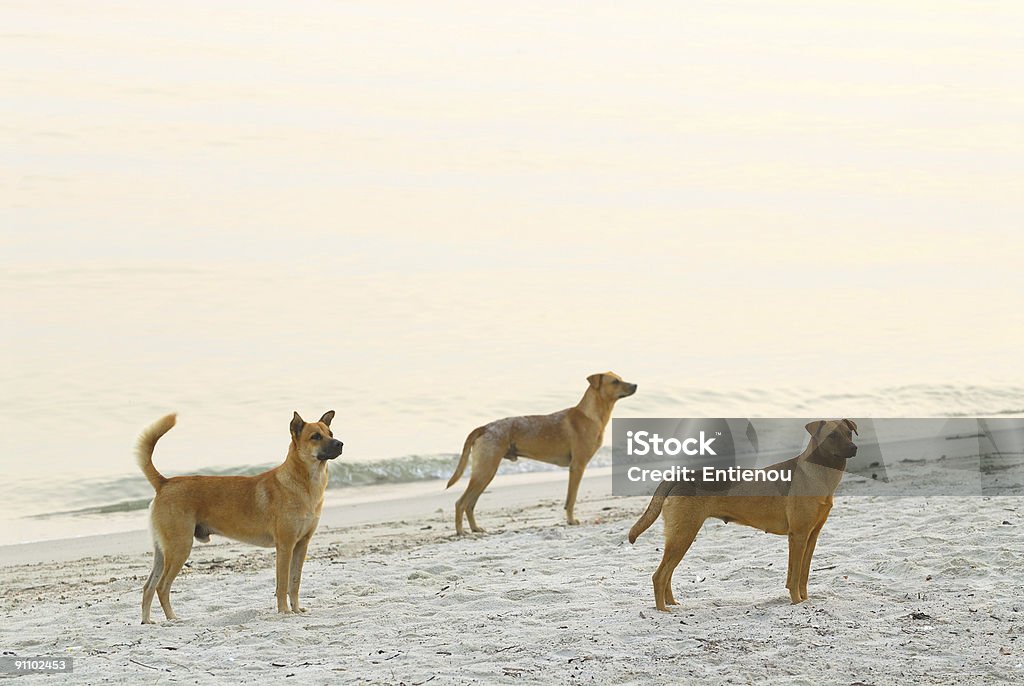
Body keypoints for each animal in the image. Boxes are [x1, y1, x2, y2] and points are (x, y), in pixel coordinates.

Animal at [134, 411, 344, 626]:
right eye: (315, 437)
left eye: (330, 433)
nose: (340, 443)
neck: (303, 482)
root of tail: (165, 483)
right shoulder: (286, 547)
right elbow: (283, 584)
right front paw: (284, 611)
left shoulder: (302, 545)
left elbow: (295, 583)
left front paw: (296, 610)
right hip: (179, 548)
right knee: (161, 587)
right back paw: (172, 618)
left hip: (164, 552)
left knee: (148, 587)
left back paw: (147, 621)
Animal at [446, 372, 634, 536]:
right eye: (615, 381)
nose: (635, 385)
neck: (591, 414)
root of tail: (484, 427)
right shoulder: (577, 466)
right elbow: (571, 499)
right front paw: (571, 521)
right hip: (485, 471)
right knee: (461, 503)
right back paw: (461, 531)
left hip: (485, 474)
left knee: (470, 504)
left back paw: (475, 528)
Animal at [630, 421, 856, 610]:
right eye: (832, 436)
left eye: (849, 433)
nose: (854, 448)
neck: (819, 474)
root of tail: (678, 477)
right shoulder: (799, 537)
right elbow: (794, 577)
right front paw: (797, 602)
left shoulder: (811, 537)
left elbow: (803, 575)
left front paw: (804, 600)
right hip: (683, 535)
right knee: (659, 576)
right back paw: (662, 610)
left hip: (680, 537)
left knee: (667, 574)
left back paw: (671, 603)